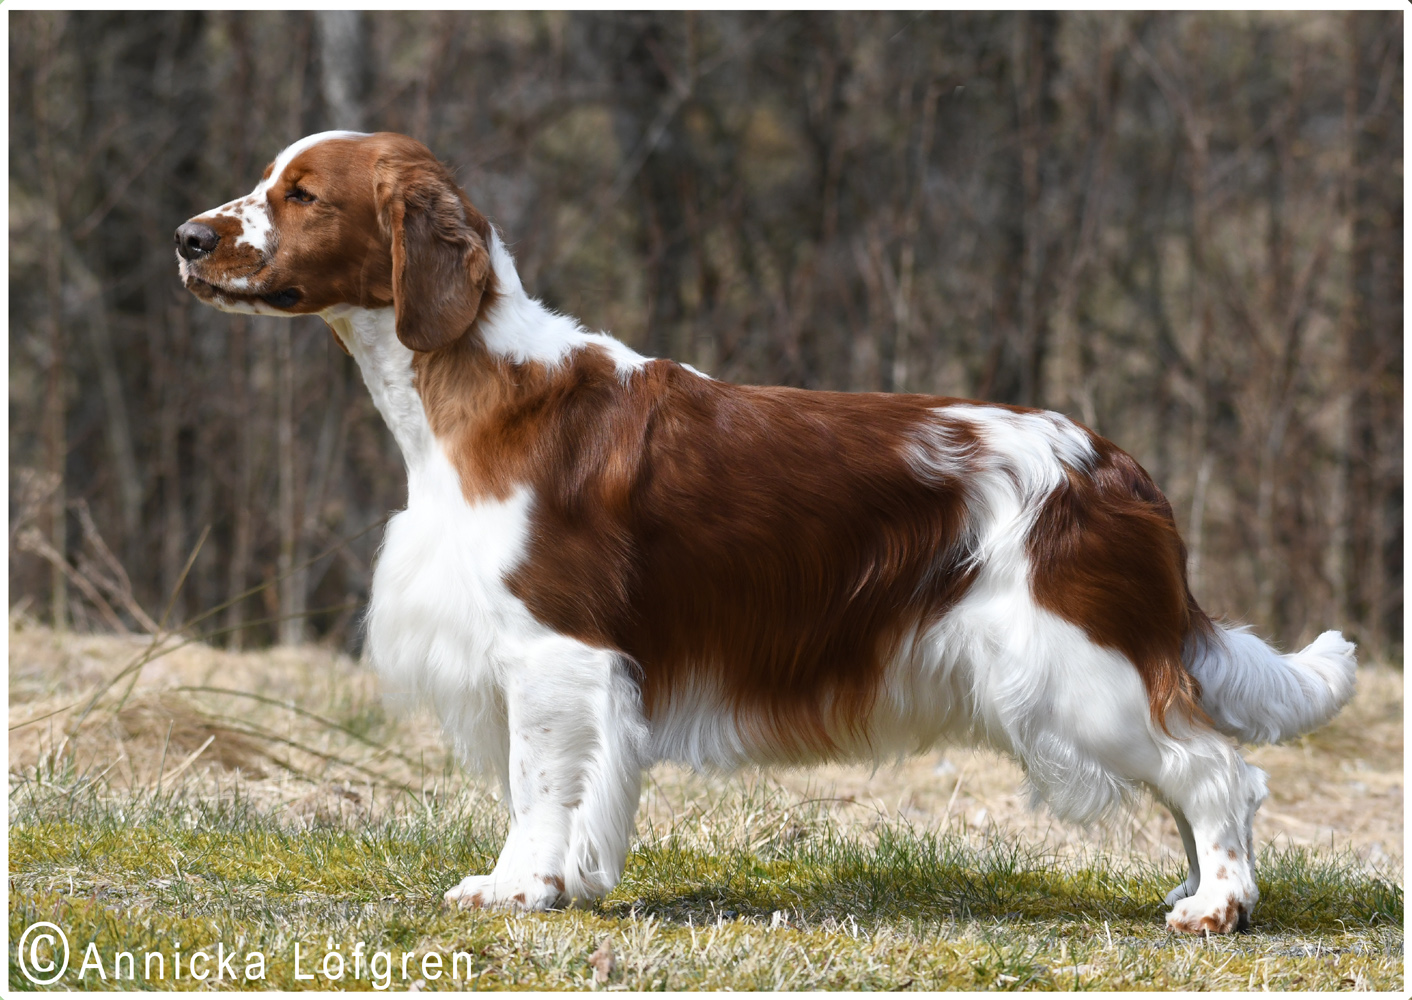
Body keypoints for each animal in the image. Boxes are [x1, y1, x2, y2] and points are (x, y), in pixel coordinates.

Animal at [176, 129, 1355, 932]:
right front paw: (548, 882)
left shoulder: (554, 651)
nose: (186, 237)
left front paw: (520, 886)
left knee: (1216, 770)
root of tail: (1117, 467)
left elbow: (538, 786)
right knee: (1193, 768)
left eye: (301, 194)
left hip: (1076, 665)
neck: (474, 392)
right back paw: (1192, 885)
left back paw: (1217, 905)